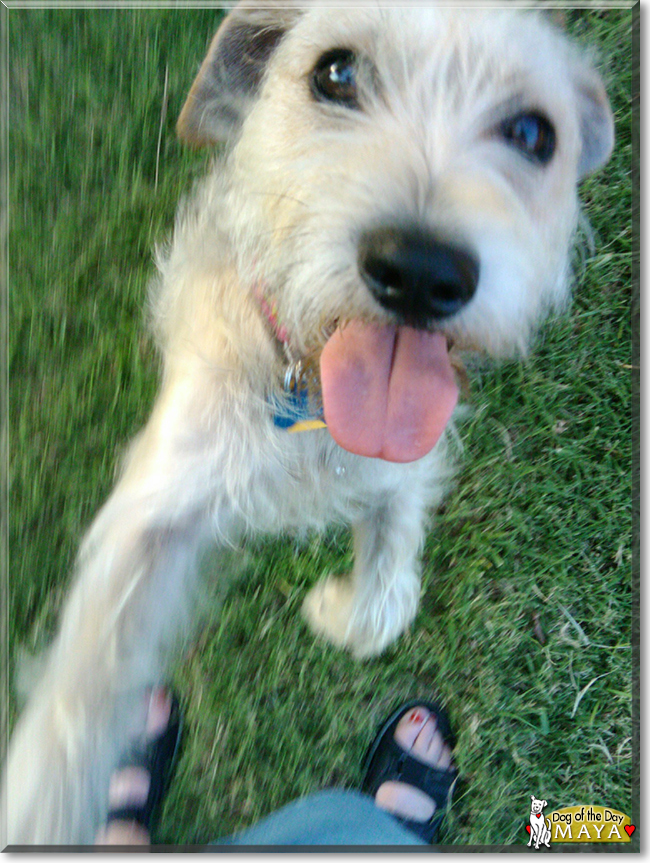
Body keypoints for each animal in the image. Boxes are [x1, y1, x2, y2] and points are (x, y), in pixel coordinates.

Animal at [2, 3, 612, 848]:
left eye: (532, 132)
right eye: (336, 72)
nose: (421, 271)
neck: (305, 389)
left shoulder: (403, 467)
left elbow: (383, 595)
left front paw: (337, 608)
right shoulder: (158, 498)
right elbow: (80, 684)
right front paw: (44, 801)